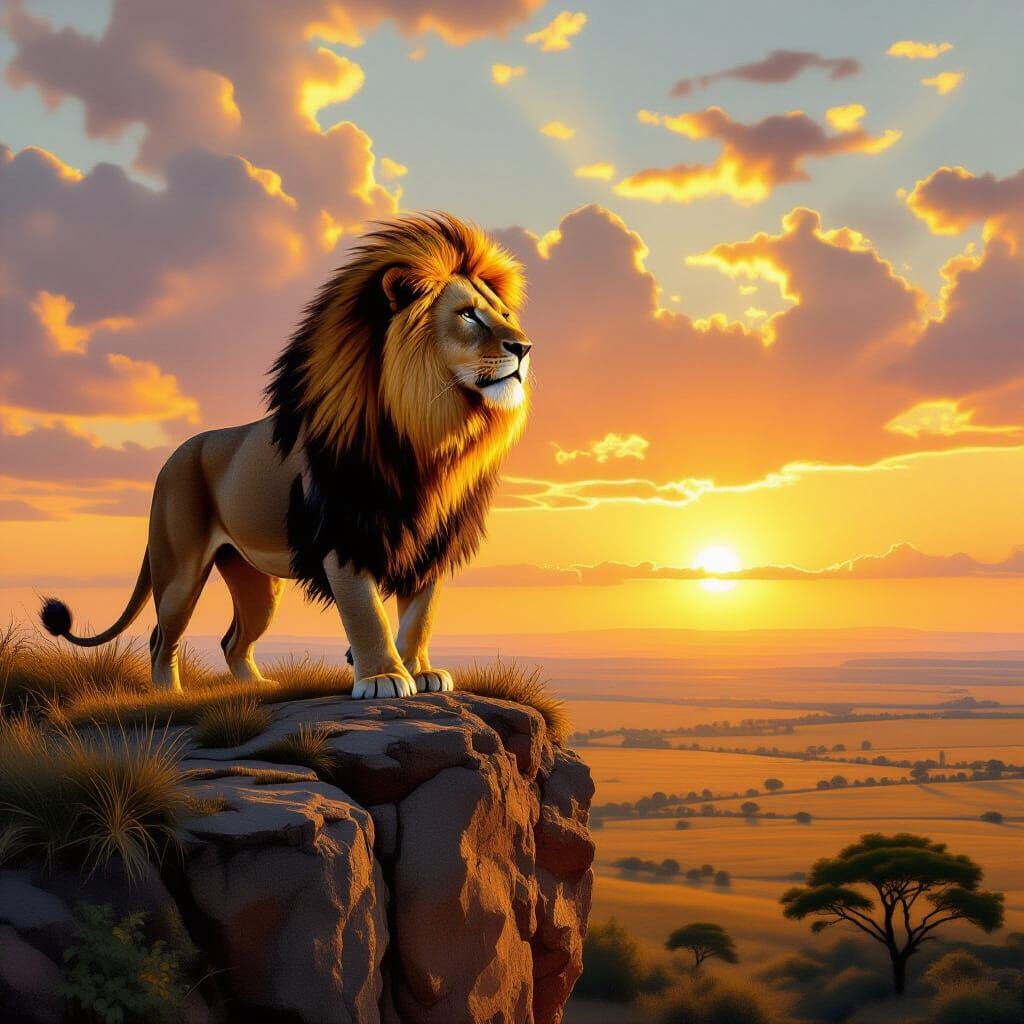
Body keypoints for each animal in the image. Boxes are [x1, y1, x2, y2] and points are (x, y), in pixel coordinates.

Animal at [41, 213, 531, 698]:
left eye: (504, 314)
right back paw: (169, 695)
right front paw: (384, 678)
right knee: (163, 637)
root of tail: (175, 456)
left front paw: (421, 671)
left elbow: (420, 616)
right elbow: (367, 614)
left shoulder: (431, 544)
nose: (524, 347)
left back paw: (257, 687)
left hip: (255, 581)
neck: (429, 437)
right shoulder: (342, 537)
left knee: (233, 641)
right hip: (179, 572)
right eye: (467, 314)